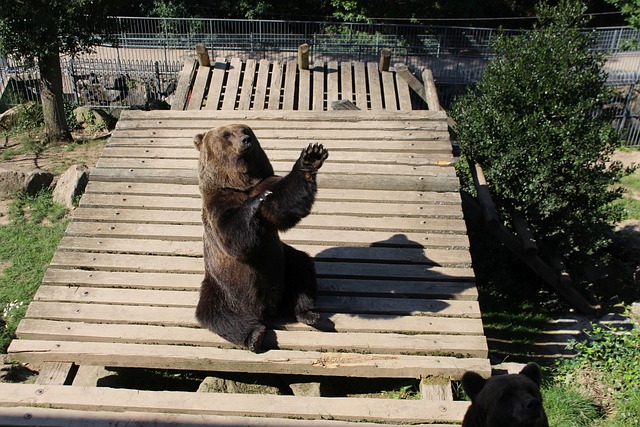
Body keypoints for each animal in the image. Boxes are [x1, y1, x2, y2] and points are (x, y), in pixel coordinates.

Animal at [193, 124, 328, 353]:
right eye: (227, 135)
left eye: (245, 130)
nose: (245, 140)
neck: (240, 184)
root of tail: (267, 309)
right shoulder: (217, 204)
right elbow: (233, 238)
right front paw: (255, 202)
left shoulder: (266, 184)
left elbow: (284, 203)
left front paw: (311, 157)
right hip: (221, 287)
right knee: (218, 314)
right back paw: (255, 335)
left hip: (284, 265)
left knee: (302, 269)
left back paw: (308, 313)